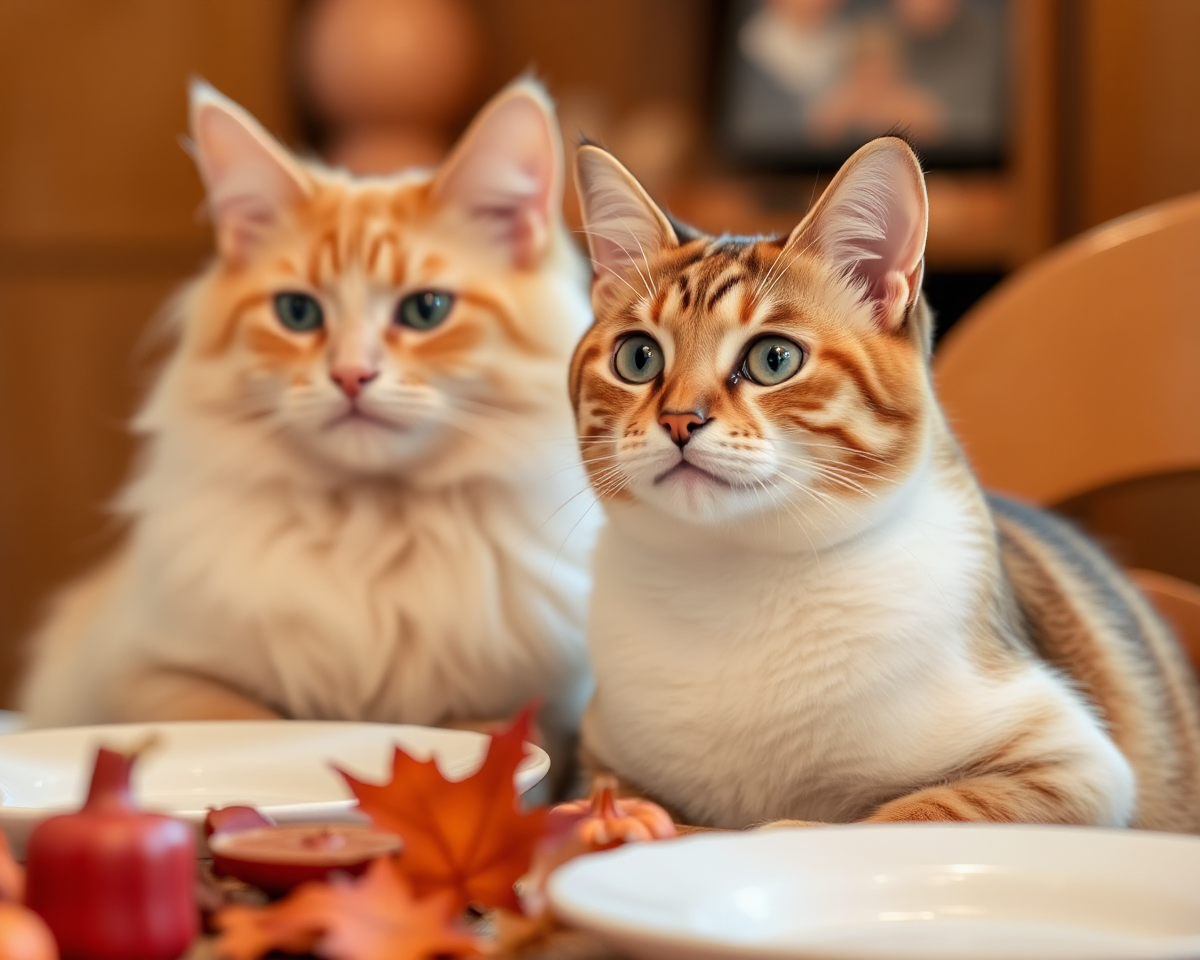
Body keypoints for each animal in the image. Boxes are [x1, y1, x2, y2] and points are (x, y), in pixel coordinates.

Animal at [566, 136, 1200, 830]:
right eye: (638, 357)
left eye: (773, 359)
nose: (680, 419)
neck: (735, 575)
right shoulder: (601, 754)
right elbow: (615, 798)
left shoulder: (1072, 764)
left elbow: (891, 819)